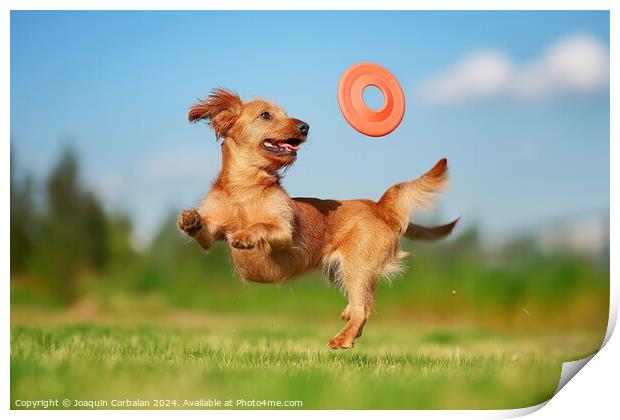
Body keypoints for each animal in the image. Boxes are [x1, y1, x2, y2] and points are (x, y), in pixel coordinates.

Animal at [177, 88, 458, 348]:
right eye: (266, 115)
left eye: (286, 114)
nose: (305, 126)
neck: (245, 189)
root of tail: (378, 206)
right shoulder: (212, 234)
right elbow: (206, 229)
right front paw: (190, 219)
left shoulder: (284, 232)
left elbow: (261, 224)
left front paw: (246, 233)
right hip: (343, 271)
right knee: (363, 302)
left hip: (357, 266)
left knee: (364, 309)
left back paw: (343, 338)